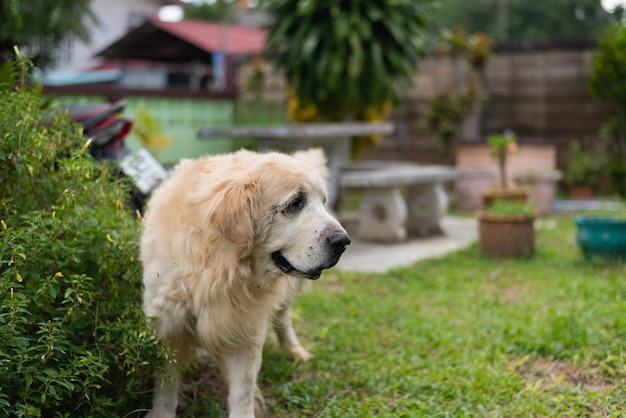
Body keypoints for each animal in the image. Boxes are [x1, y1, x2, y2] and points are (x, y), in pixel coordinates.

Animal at [138, 149, 348, 416]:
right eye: (296, 203)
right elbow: (166, 384)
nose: (344, 241)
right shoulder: (168, 324)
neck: (219, 267)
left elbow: (242, 390)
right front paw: (160, 412)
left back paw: (294, 351)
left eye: (323, 202)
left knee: (283, 320)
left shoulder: (244, 331)